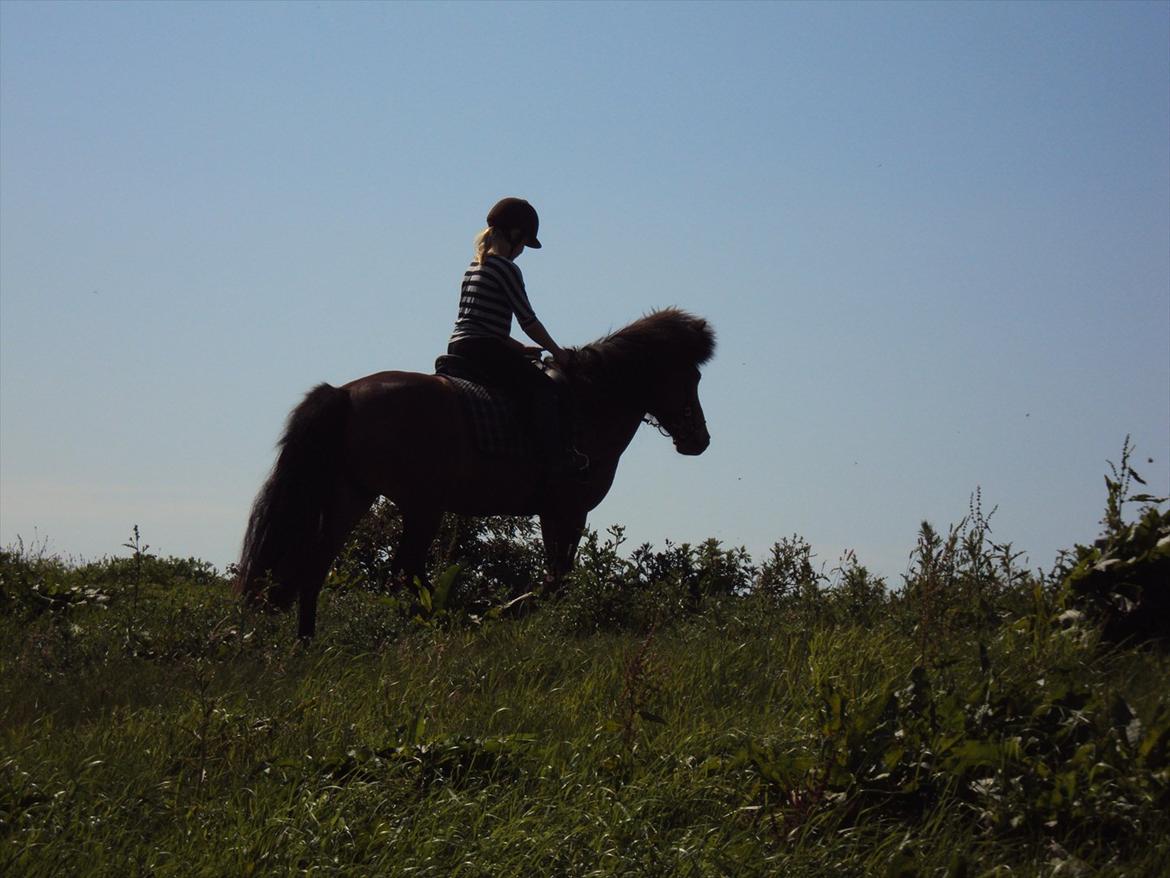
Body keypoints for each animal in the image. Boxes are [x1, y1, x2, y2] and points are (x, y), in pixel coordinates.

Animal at [232, 309, 711, 641]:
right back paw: (451, 617)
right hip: (422, 505)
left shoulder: (554, 513)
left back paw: (308, 644)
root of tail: (345, 394)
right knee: (405, 571)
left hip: (353, 496)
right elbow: (556, 582)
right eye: (690, 377)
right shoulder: (568, 510)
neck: (588, 404)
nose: (699, 440)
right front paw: (503, 611)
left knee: (316, 567)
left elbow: (555, 580)